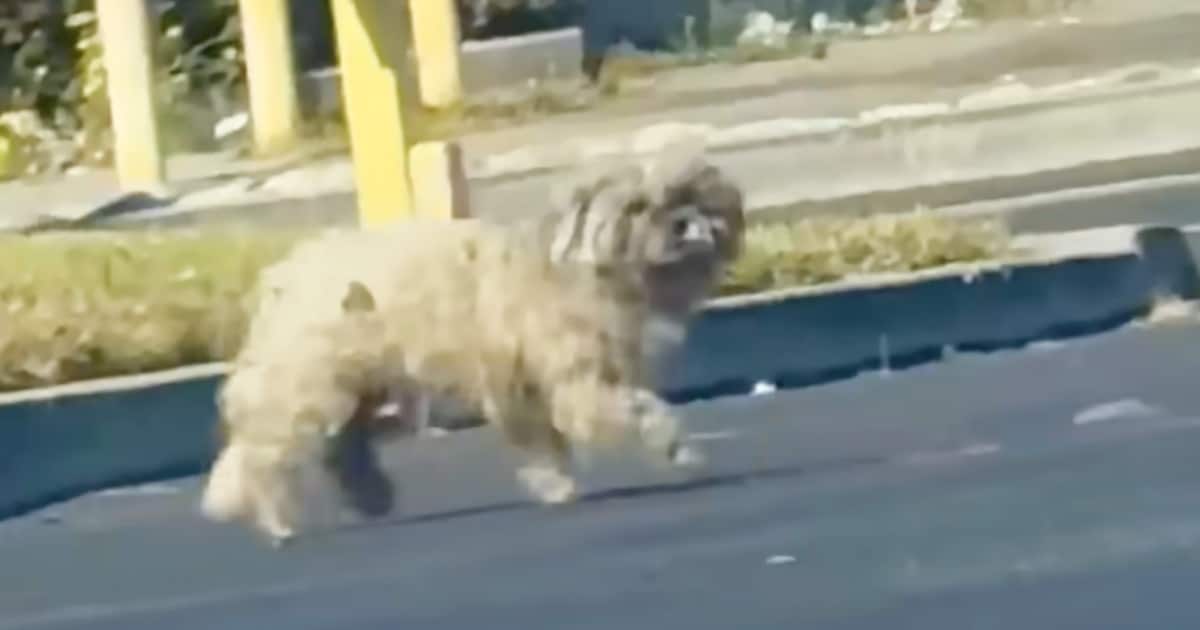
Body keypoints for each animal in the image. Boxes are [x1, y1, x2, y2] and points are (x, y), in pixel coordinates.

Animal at [201, 150, 744, 542]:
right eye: (638, 207)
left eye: (691, 198)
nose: (686, 223)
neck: (578, 267)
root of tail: (283, 275)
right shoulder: (576, 378)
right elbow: (632, 411)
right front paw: (675, 448)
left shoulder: (525, 386)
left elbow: (541, 442)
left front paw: (555, 483)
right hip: (309, 383)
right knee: (265, 453)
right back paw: (276, 516)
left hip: (358, 381)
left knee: (343, 446)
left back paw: (370, 495)